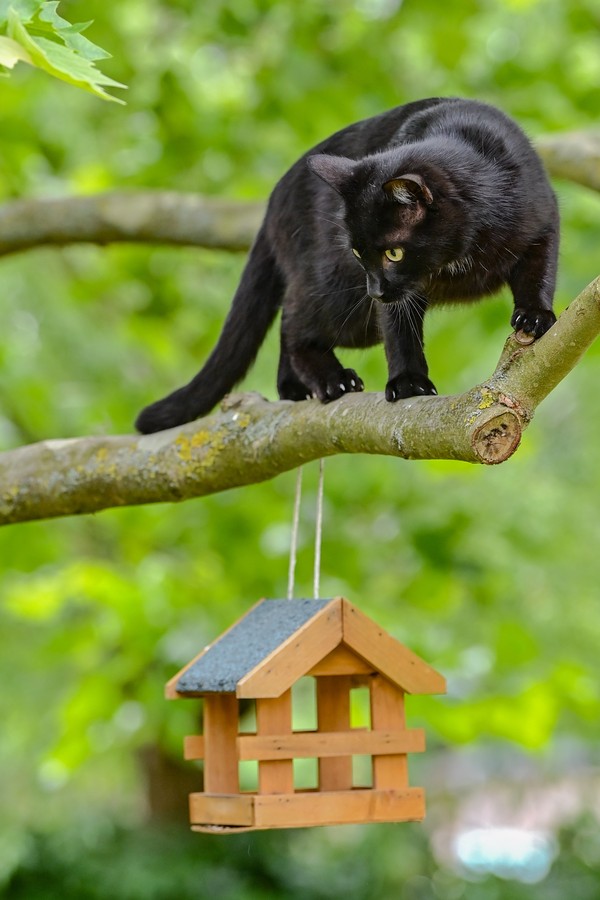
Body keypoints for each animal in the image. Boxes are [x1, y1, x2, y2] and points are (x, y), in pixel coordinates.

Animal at [137, 96, 556, 434]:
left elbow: (539, 275)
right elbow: (400, 332)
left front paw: (535, 318)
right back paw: (329, 381)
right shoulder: (395, 296)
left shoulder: (543, 224)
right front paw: (408, 383)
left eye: (393, 253)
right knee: (294, 319)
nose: (376, 290)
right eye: (358, 253)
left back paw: (294, 390)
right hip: (342, 298)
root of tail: (276, 195)